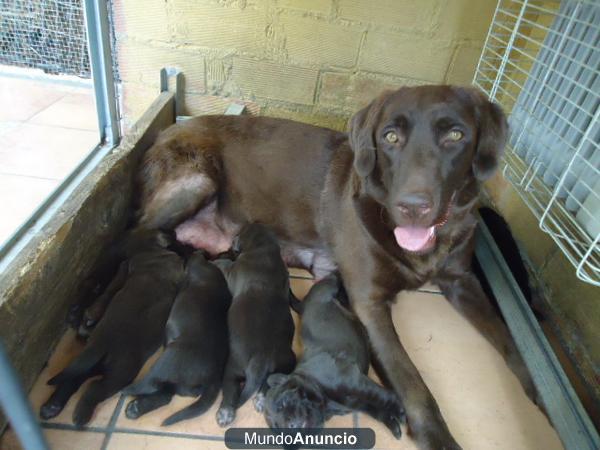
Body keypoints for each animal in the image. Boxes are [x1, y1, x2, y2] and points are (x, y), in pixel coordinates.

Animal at [39, 230, 183, 428]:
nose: (176, 234)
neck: (149, 253)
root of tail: (99, 345)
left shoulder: (126, 268)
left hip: (89, 366)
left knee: (71, 380)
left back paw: (52, 406)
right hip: (120, 372)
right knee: (94, 388)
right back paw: (81, 415)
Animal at [125, 250, 232, 426]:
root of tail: (214, 378)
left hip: (166, 361)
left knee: (149, 384)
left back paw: (127, 391)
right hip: (176, 381)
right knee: (164, 395)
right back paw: (136, 408)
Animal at [214, 223, 296, 428]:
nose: (232, 240)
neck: (264, 248)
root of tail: (262, 359)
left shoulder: (233, 270)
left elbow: (225, 265)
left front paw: (217, 261)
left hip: (232, 368)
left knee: (230, 390)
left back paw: (225, 413)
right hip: (288, 361)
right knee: (269, 382)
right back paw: (260, 398)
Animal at [266, 274, 404, 436]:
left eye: (284, 402)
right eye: (276, 426)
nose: (290, 426)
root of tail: (303, 305)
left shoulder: (355, 382)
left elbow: (382, 396)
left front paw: (400, 410)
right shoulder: (359, 403)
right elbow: (377, 409)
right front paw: (393, 422)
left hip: (329, 285)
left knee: (335, 279)